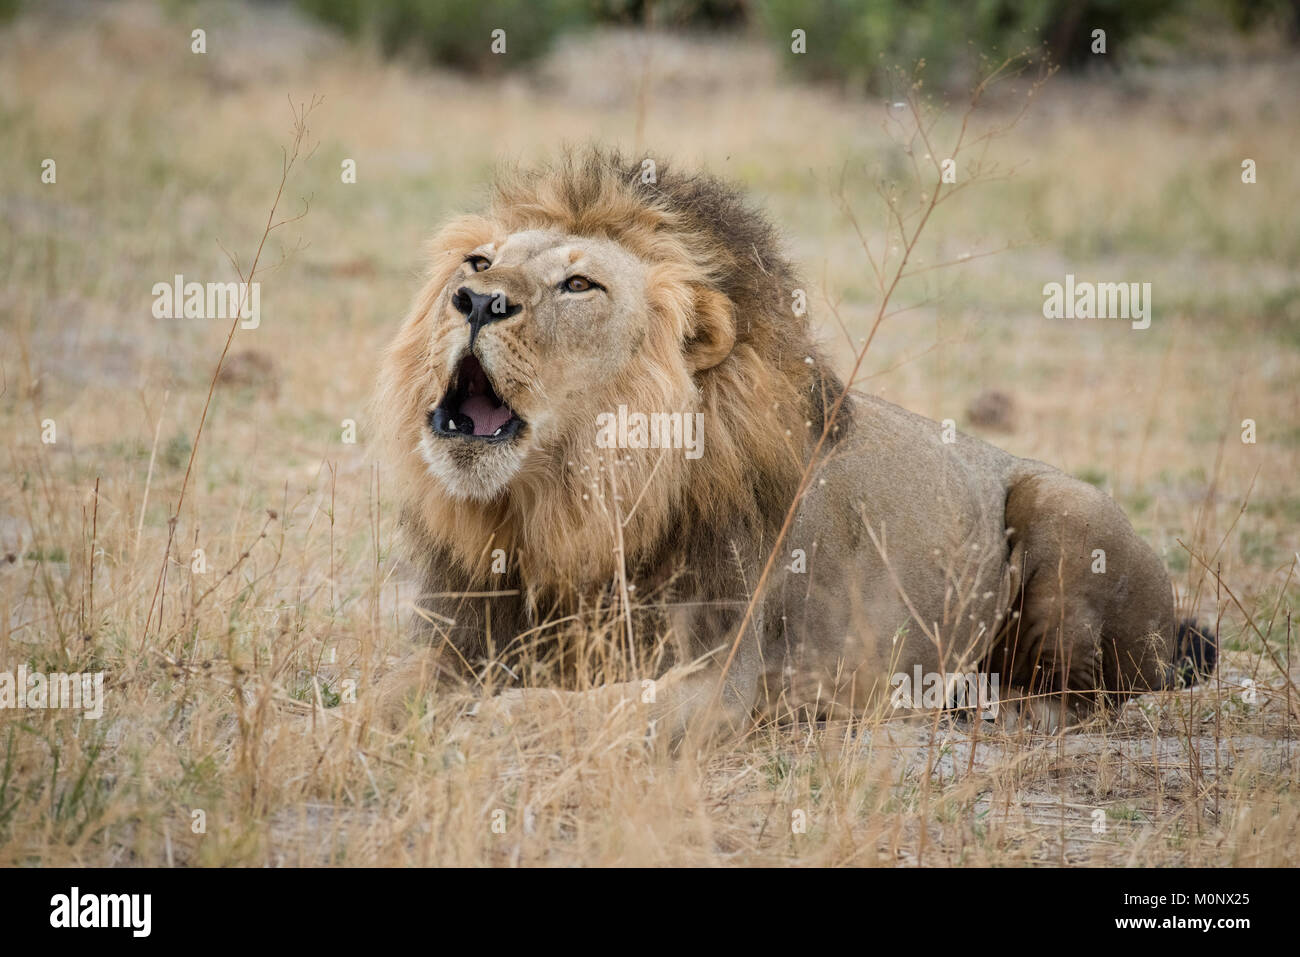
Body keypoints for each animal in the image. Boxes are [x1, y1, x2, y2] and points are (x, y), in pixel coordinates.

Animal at [373, 147, 1216, 739]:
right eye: (478, 261)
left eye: (581, 286)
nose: (476, 300)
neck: (565, 506)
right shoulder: (460, 636)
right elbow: (387, 686)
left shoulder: (719, 677)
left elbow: (589, 707)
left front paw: (491, 717)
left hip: (1063, 507)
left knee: (1095, 698)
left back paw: (993, 702)